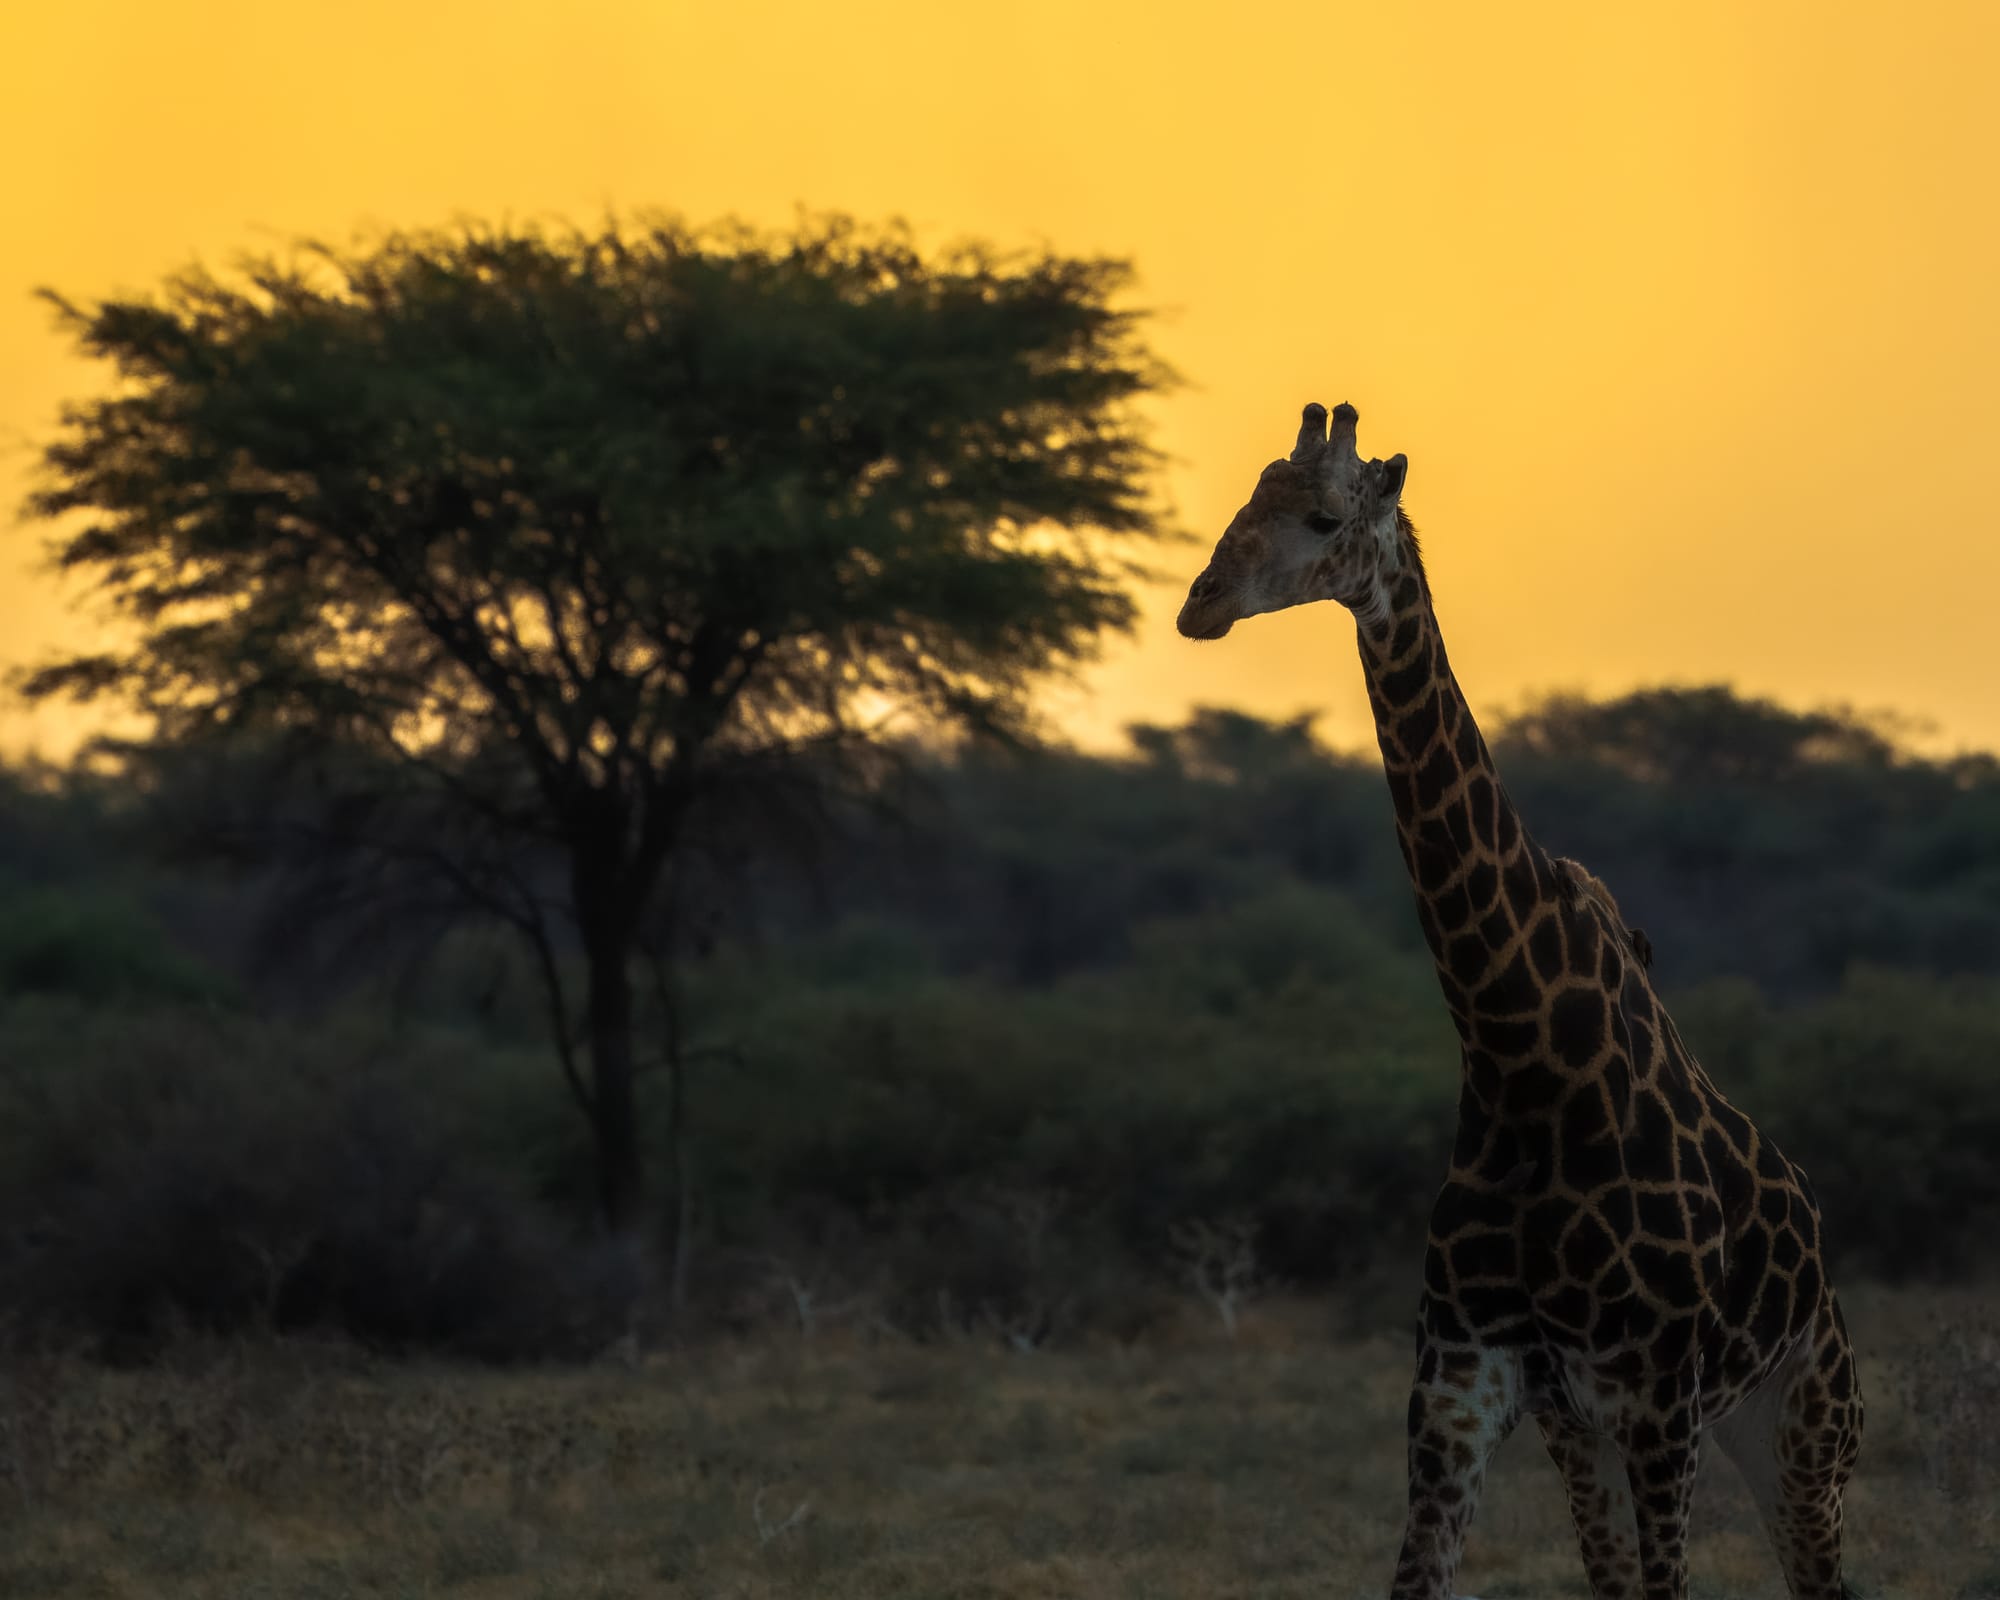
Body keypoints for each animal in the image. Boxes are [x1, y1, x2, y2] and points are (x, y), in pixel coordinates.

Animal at [1174, 402, 1862, 1600]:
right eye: (1245, 500)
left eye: (1323, 516)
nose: (1199, 602)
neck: (1521, 1055)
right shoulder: (1474, 1391)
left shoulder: (1654, 1404)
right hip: (1651, 1430)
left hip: (1802, 1425)